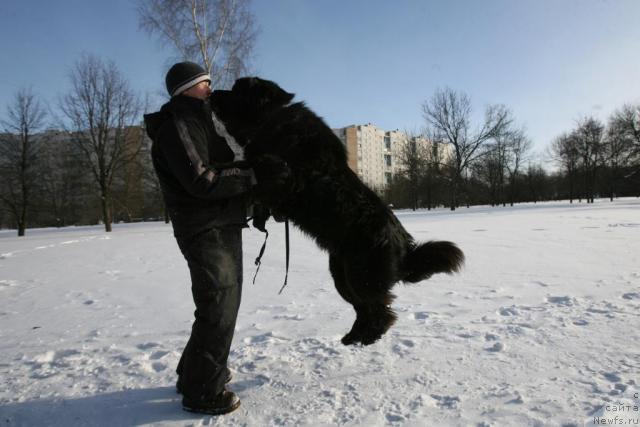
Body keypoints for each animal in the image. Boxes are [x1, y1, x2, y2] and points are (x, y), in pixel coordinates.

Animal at [210, 77, 464, 346]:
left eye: (236, 90)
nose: (213, 92)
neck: (272, 117)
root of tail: (404, 248)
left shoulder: (284, 176)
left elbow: (253, 167)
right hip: (342, 274)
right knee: (364, 307)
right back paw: (353, 337)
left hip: (360, 274)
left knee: (380, 310)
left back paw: (369, 336)